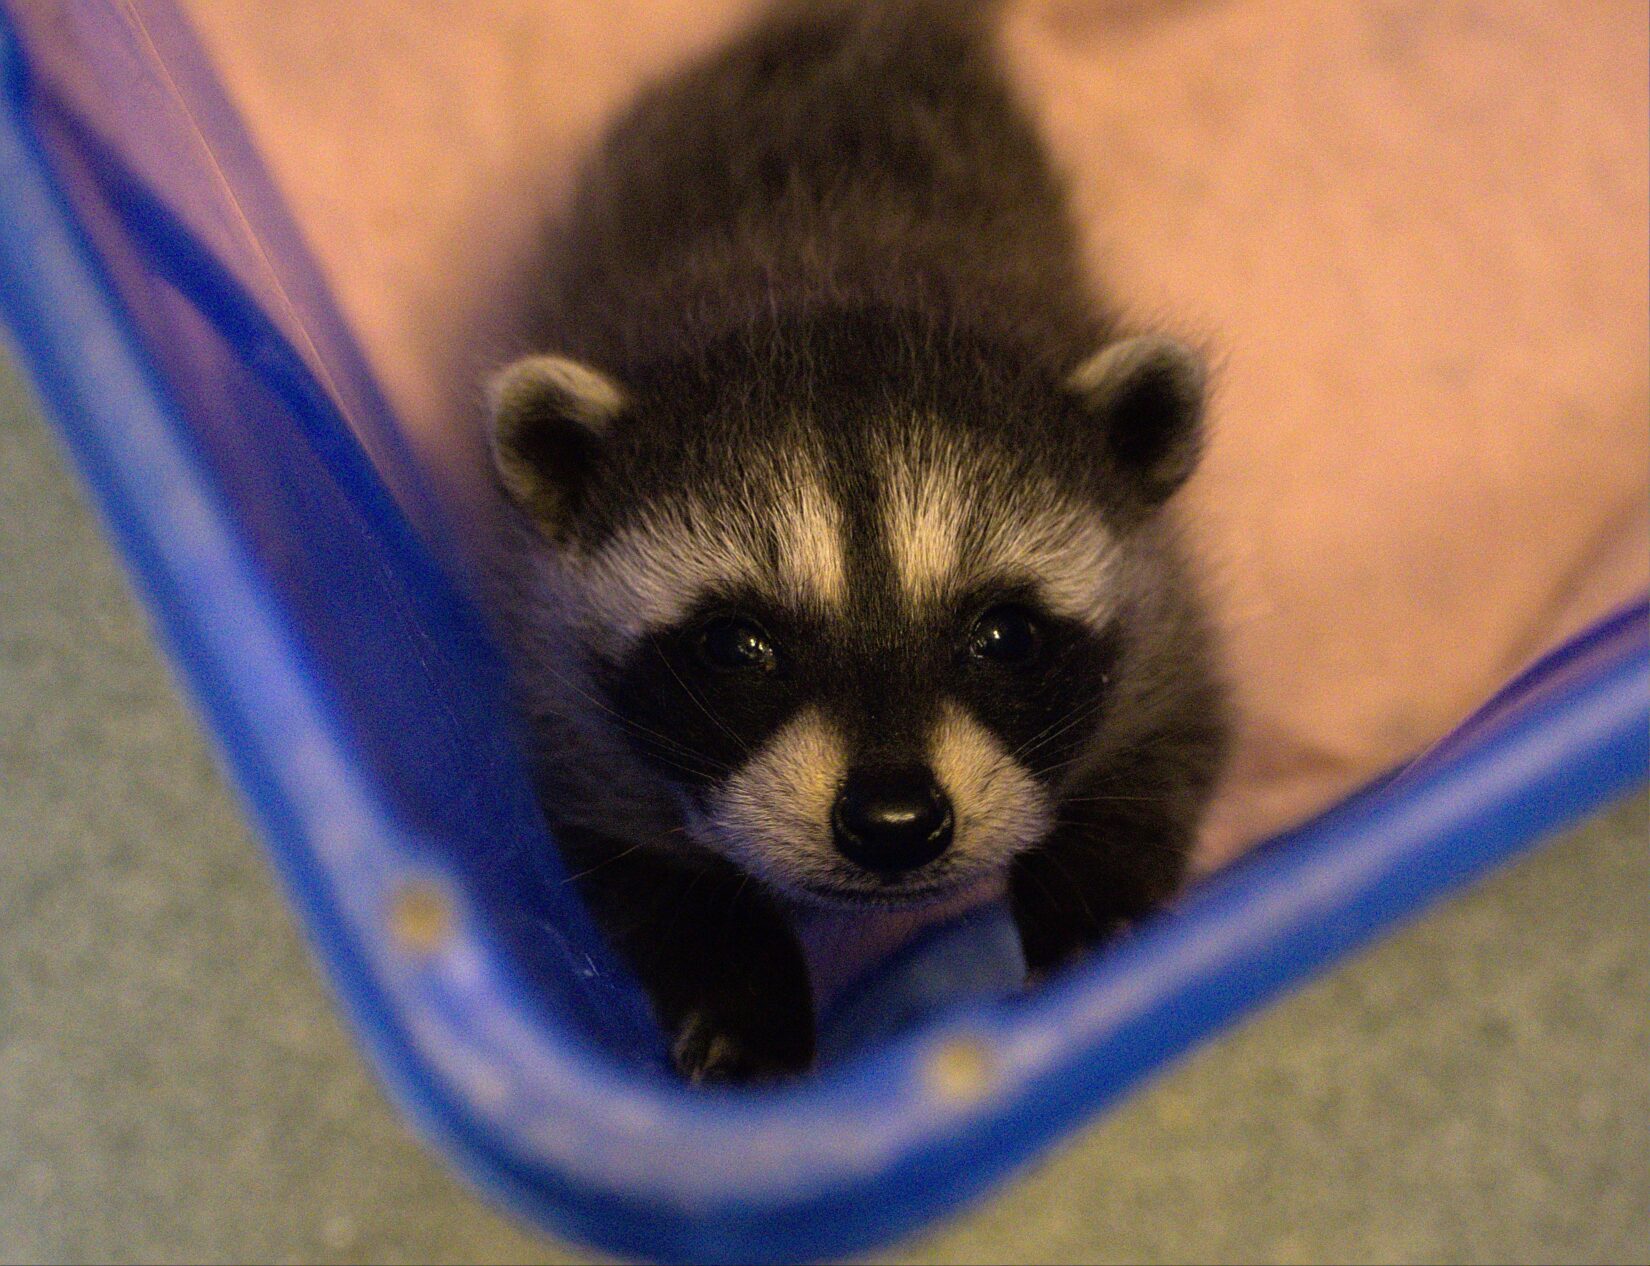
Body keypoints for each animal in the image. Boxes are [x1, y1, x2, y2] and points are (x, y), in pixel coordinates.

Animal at [485, 2, 1227, 1089]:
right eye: (735, 644)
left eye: (1006, 635)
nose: (894, 823)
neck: (831, 292)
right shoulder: (561, 679)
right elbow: (628, 848)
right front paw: (739, 990)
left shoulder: (1161, 604)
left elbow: (1164, 741)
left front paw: (1096, 918)